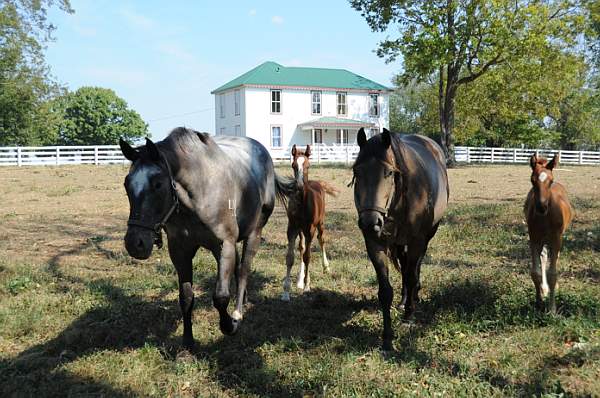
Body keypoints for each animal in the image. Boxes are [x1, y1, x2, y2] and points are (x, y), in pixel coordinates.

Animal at [118, 128, 290, 348]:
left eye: (157, 184)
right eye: (126, 184)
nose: (135, 243)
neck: (197, 195)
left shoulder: (224, 246)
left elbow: (221, 297)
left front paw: (229, 325)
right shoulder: (180, 251)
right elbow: (186, 297)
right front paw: (188, 341)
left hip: (254, 233)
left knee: (243, 270)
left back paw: (238, 312)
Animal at [280, 145, 338, 300]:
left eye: (308, 165)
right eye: (293, 165)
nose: (299, 186)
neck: (302, 203)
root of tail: (318, 183)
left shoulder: (310, 229)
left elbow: (308, 256)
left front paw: (307, 286)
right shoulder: (292, 228)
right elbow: (290, 257)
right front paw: (286, 292)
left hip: (320, 224)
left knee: (321, 240)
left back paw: (326, 267)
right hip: (301, 230)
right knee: (302, 247)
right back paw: (300, 280)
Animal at [352, 129, 450, 350]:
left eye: (389, 173)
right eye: (357, 172)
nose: (370, 222)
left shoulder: (417, 241)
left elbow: (412, 275)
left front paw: (409, 316)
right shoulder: (375, 244)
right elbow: (385, 291)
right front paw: (387, 336)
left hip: (427, 235)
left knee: (415, 267)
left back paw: (413, 297)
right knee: (405, 267)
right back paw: (404, 298)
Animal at [524, 154, 576, 312]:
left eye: (550, 180)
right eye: (532, 180)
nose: (541, 207)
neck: (545, 217)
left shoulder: (556, 239)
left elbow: (553, 274)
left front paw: (552, 310)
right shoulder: (534, 239)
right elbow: (535, 272)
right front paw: (539, 302)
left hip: (555, 239)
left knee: (555, 257)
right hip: (543, 240)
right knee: (544, 256)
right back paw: (544, 289)